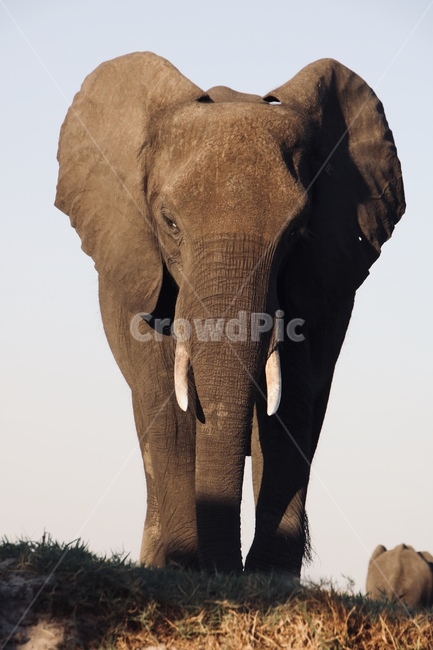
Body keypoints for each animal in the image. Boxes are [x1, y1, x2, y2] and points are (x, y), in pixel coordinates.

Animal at [55, 52, 405, 577]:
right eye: (169, 223)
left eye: (297, 230)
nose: (228, 572)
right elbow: (168, 407)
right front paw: (186, 567)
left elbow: (290, 407)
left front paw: (268, 577)